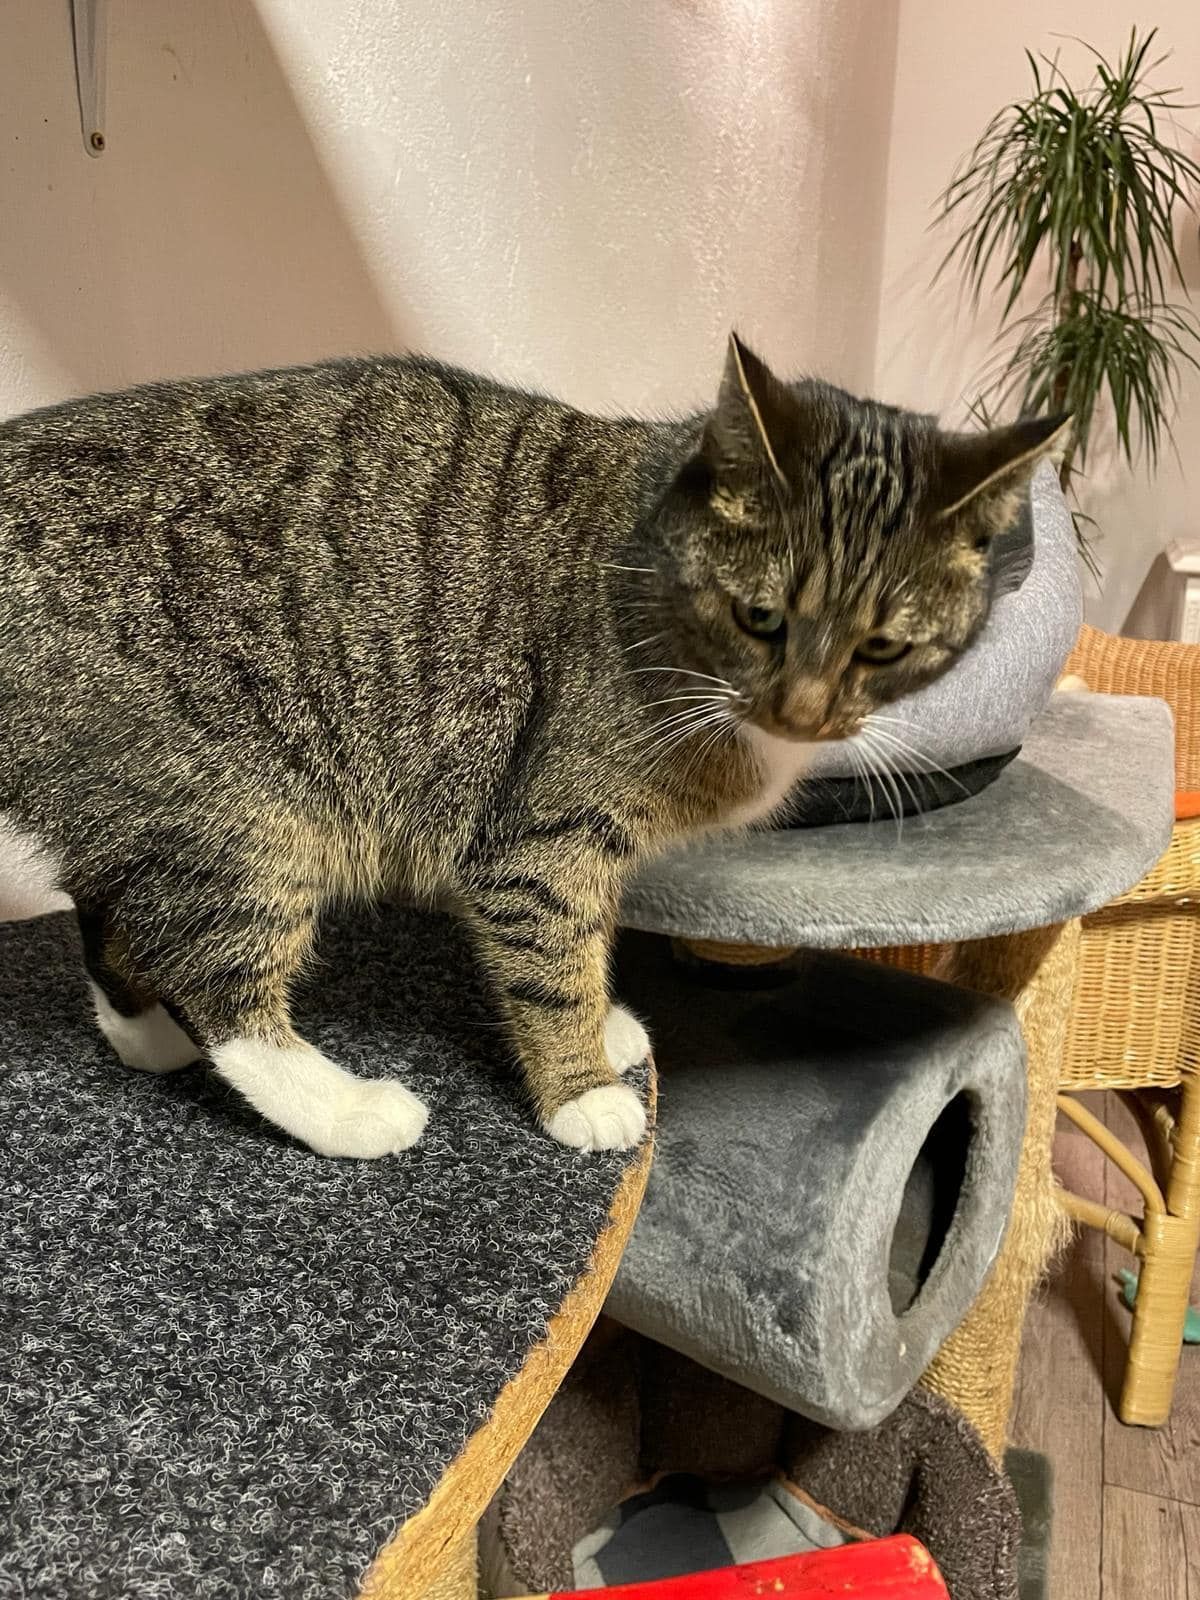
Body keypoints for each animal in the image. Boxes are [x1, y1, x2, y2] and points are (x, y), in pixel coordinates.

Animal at [0, 334, 1067, 1158]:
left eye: (884, 648)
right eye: (760, 617)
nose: (804, 713)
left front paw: (603, 1029)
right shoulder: (540, 843)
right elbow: (553, 956)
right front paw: (584, 1089)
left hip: (145, 806)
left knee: (110, 909)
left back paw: (143, 1035)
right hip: (235, 812)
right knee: (216, 980)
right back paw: (350, 1112)